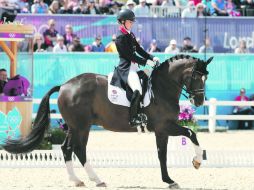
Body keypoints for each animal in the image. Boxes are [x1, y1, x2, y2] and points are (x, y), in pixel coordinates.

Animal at [2, 54, 213, 189]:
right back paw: (96, 179)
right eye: (196, 76)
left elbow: (168, 151)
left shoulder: (163, 129)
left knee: (67, 148)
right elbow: (187, 136)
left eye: (206, 77)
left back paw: (78, 180)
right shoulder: (163, 127)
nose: (199, 101)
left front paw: (172, 177)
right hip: (81, 126)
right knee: (78, 149)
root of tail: (64, 86)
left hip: (74, 126)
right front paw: (193, 163)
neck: (162, 88)